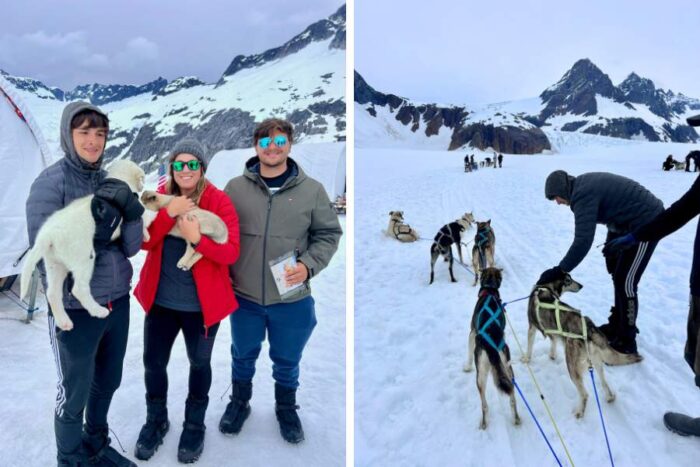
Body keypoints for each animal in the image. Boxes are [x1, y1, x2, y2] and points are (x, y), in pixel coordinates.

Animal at [20, 161, 145, 332]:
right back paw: (99, 311)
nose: (142, 186)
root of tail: (48, 234)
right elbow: (145, 215)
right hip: (84, 257)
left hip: (54, 264)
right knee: (78, 289)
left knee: (53, 293)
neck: (119, 179)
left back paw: (64, 322)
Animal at [464, 268, 520, 430]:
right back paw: (515, 418)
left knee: (484, 404)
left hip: (480, 374)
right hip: (507, 369)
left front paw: (467, 366)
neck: (489, 290)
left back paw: (483, 422)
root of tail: (491, 346)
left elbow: (468, 352)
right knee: (512, 397)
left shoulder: (472, 333)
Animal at [524, 272, 644, 418]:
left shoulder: (532, 327)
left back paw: (579, 412)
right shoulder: (552, 332)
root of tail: (590, 329)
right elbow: (553, 342)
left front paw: (526, 359)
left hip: (572, 366)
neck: (546, 287)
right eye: (568, 280)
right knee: (604, 383)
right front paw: (552, 355)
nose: (581, 285)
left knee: (585, 394)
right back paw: (609, 397)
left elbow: (529, 348)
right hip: (597, 362)